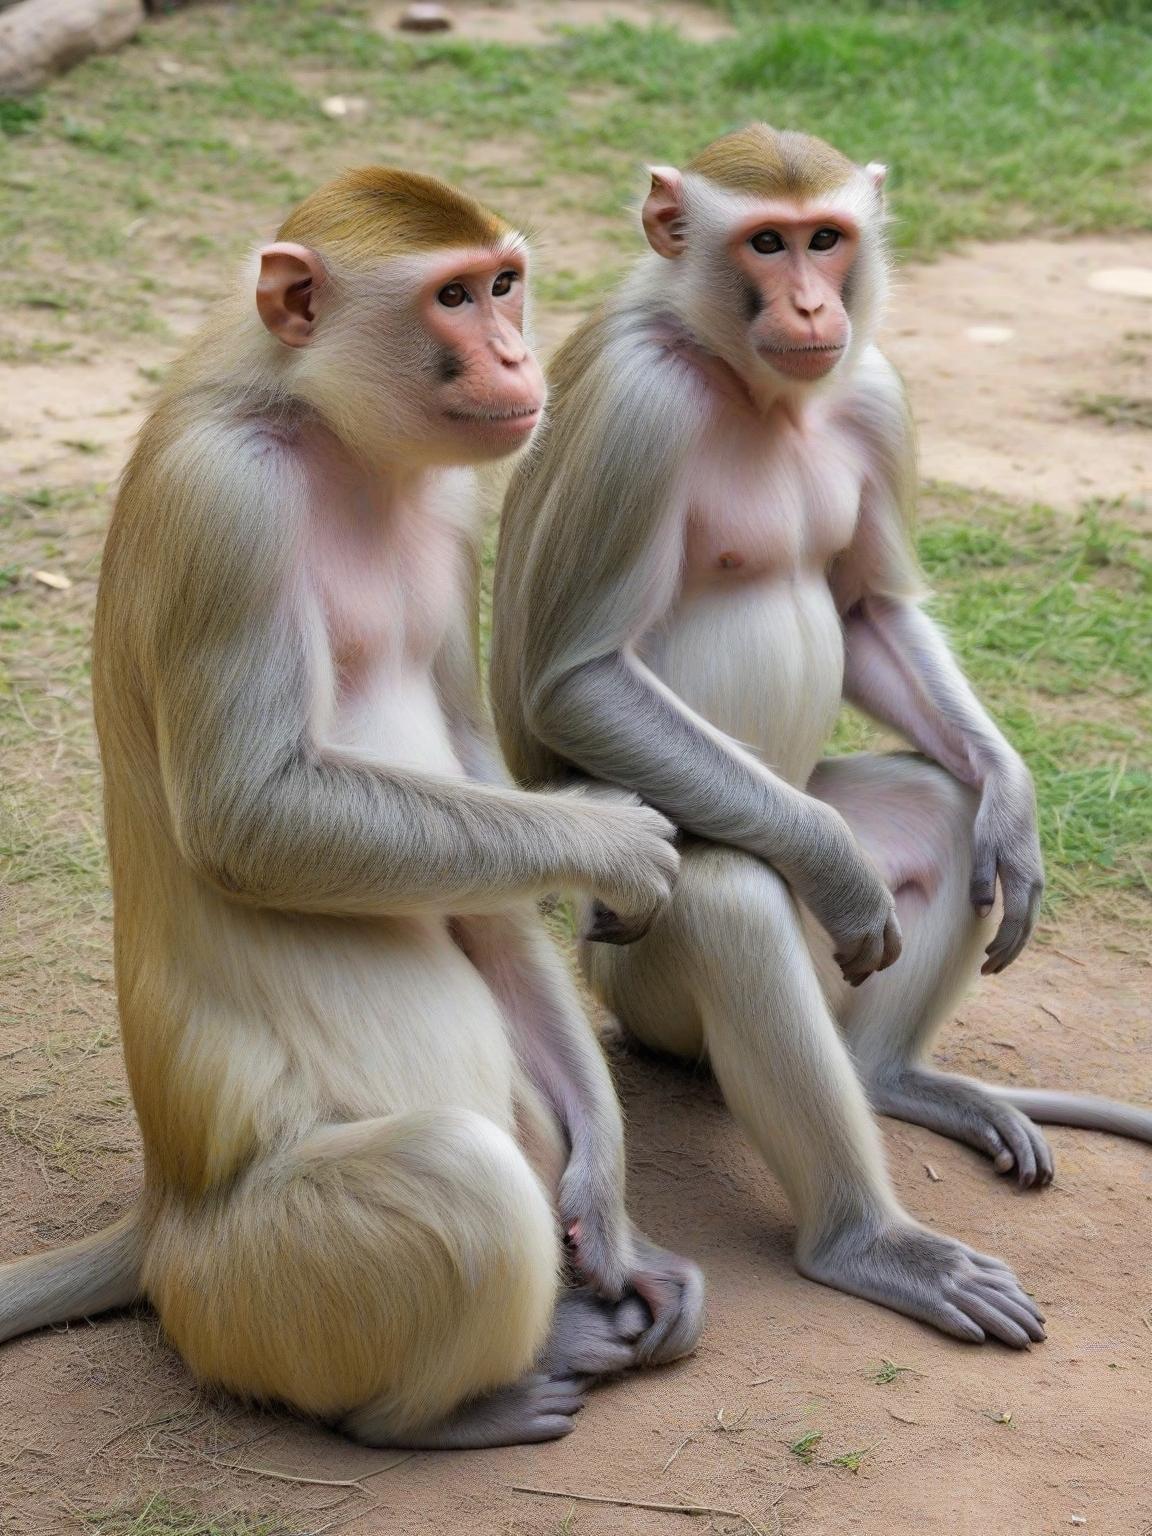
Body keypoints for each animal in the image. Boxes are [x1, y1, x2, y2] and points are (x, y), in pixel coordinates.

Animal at [0, 167, 705, 1447]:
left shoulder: (461, 515)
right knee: (454, 1174)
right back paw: (451, 1408)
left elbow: (483, 861)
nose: (516, 355)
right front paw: (616, 840)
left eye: (505, 283)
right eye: (453, 298)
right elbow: (250, 819)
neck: (329, 434)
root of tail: (163, 1221)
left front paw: (615, 1215)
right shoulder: (225, 502)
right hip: (262, 1285)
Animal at [491, 124, 1152, 1348]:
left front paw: (1013, 800)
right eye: (767, 242)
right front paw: (839, 871)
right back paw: (865, 1241)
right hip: (635, 979)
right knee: (732, 899)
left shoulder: (875, 389)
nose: (810, 303)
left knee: (937, 814)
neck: (754, 388)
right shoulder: (640, 408)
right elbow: (573, 684)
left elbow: (871, 611)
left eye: (827, 239)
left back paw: (891, 1076)